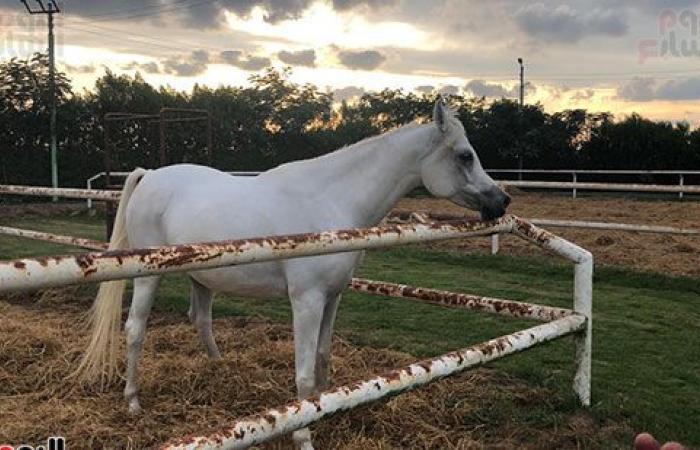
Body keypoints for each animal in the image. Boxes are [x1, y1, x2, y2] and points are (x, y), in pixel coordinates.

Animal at [79, 100, 512, 448]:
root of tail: (150, 174)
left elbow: (322, 358)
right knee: (135, 329)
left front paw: (327, 410)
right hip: (147, 277)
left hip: (202, 275)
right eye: (465, 155)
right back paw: (133, 400)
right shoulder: (307, 301)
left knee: (200, 319)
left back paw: (219, 368)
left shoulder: (333, 297)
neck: (331, 199)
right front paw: (303, 435)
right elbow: (303, 376)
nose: (502, 201)